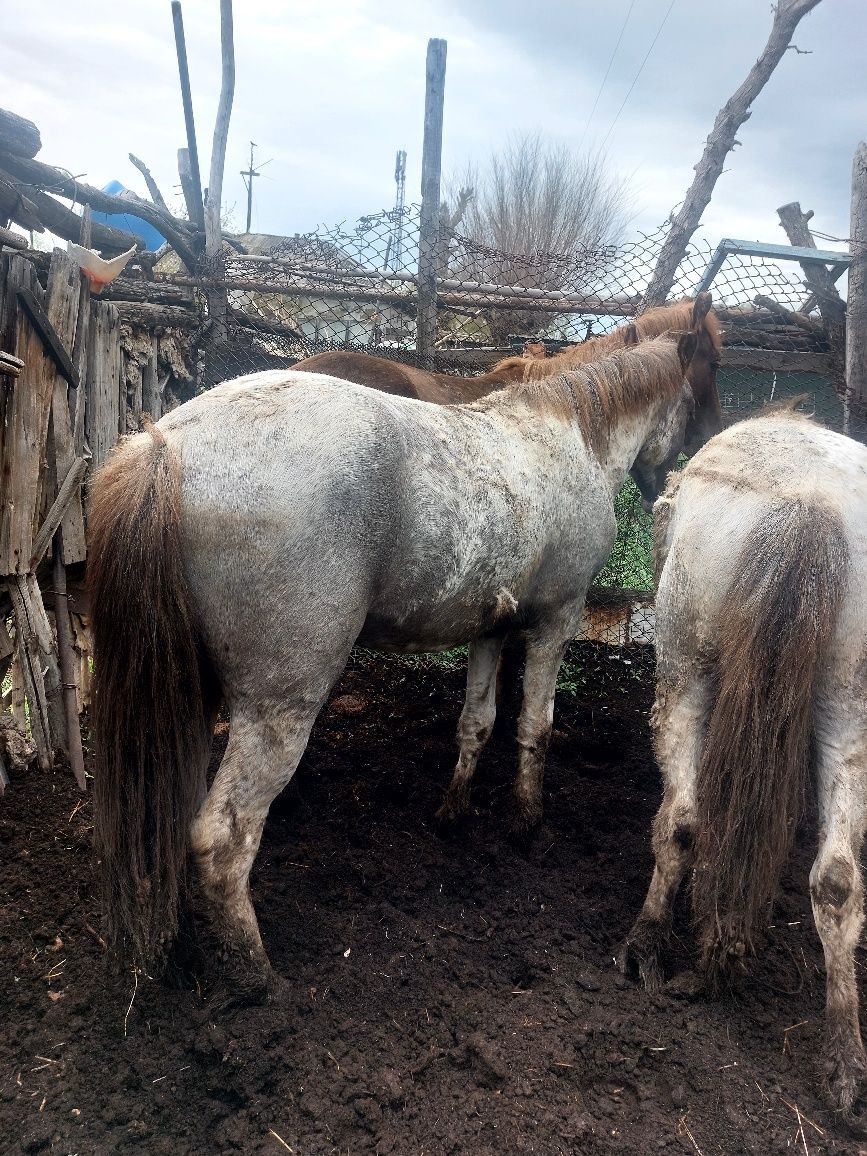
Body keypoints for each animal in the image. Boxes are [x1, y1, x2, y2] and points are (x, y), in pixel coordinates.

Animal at [90, 300, 725, 1003]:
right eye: (713, 368)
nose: (704, 453)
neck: (567, 434)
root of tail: (166, 445)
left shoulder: (491, 630)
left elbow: (478, 724)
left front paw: (453, 812)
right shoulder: (554, 622)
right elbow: (535, 726)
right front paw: (525, 821)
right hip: (278, 708)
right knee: (221, 839)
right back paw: (257, 976)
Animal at [619, 404, 867, 1119]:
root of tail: (810, 501)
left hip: (684, 666)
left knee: (683, 821)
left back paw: (650, 946)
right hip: (848, 702)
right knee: (837, 877)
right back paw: (844, 1061)